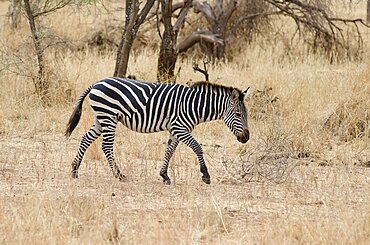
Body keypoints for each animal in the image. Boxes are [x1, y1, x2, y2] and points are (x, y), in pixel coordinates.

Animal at [66, 76, 251, 184]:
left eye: (246, 114)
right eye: (238, 114)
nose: (246, 138)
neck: (194, 106)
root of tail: (97, 83)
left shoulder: (175, 130)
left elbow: (169, 150)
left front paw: (164, 175)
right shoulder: (180, 127)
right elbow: (197, 147)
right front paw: (205, 175)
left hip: (101, 118)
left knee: (85, 139)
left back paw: (75, 169)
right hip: (108, 117)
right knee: (106, 146)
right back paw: (119, 175)